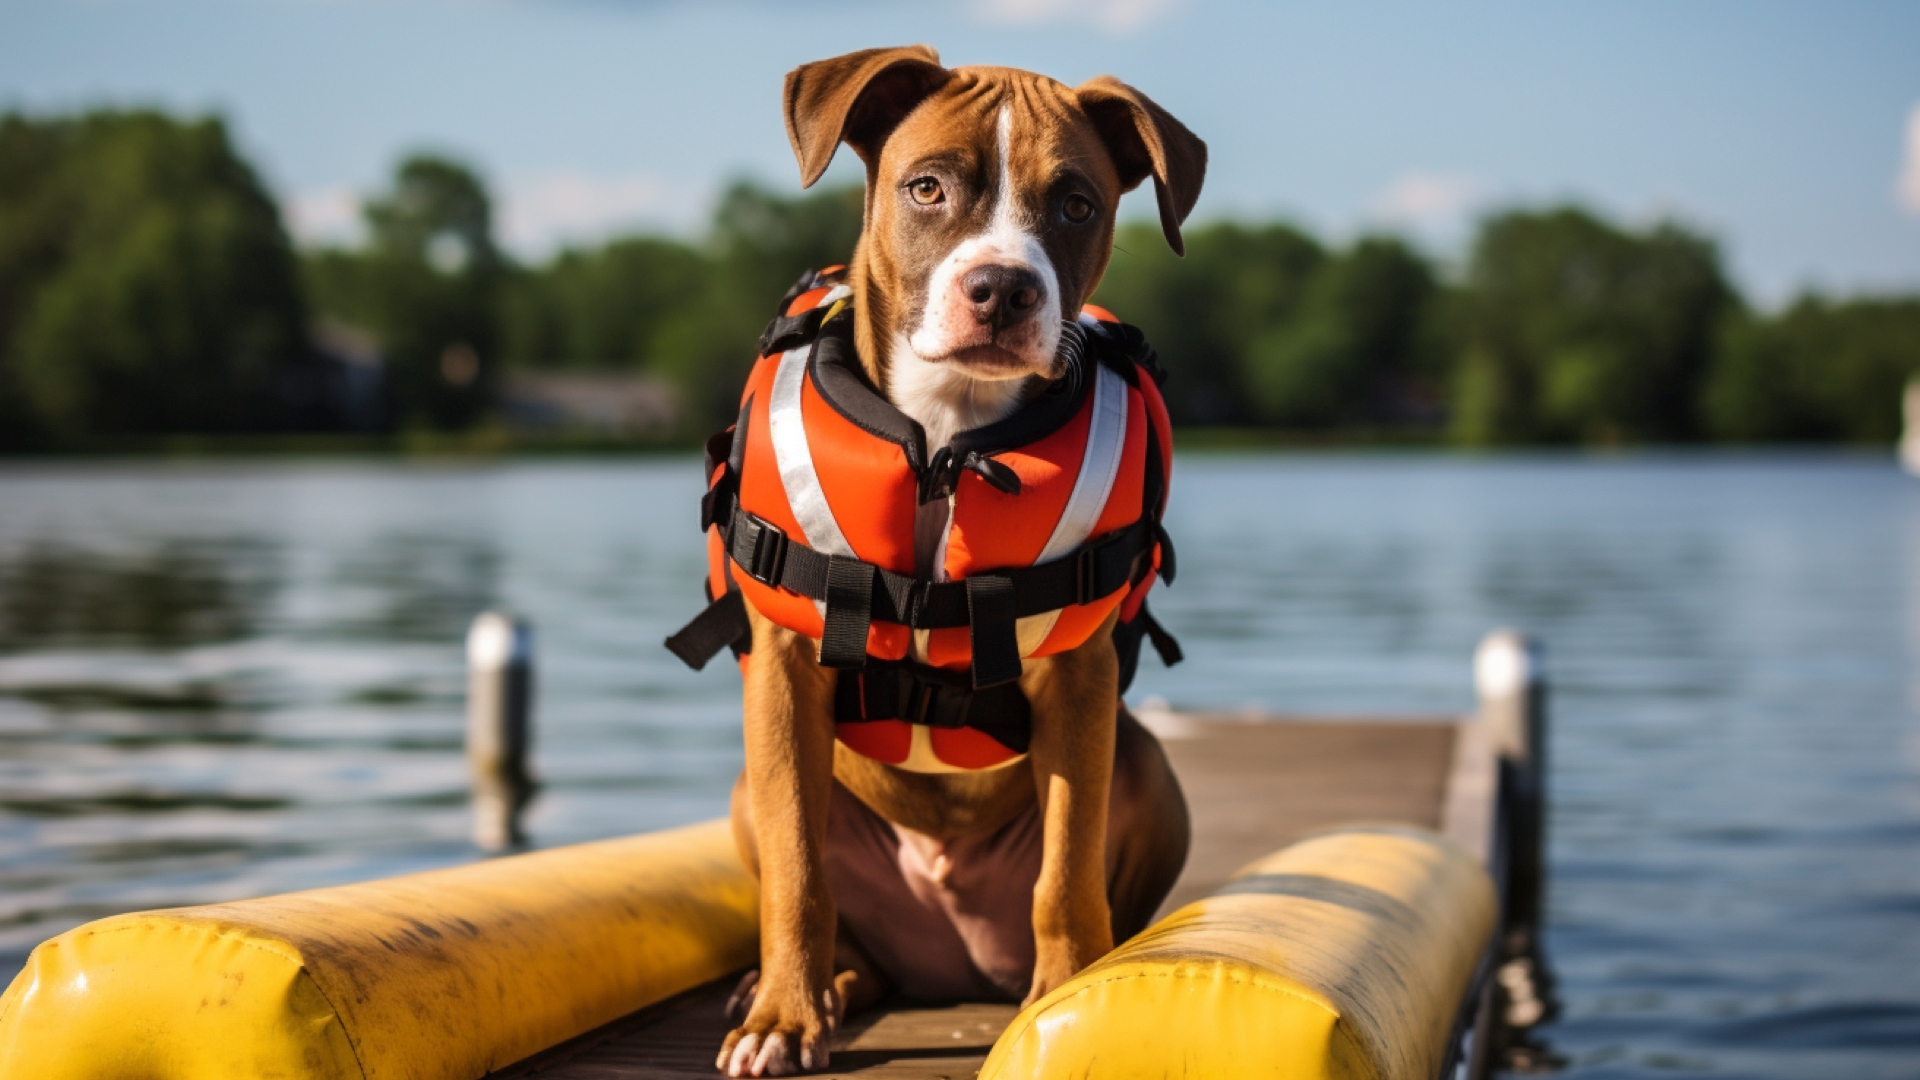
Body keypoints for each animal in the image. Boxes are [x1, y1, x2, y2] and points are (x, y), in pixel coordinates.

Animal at [714, 46, 1205, 1068]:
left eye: (1076, 204)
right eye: (928, 187)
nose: (1003, 288)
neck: (947, 434)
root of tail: (949, 962)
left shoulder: (1079, 683)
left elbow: (1066, 867)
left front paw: (1068, 995)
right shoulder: (783, 675)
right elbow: (797, 868)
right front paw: (781, 1016)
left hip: (1147, 773)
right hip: (750, 790)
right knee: (840, 919)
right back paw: (817, 989)